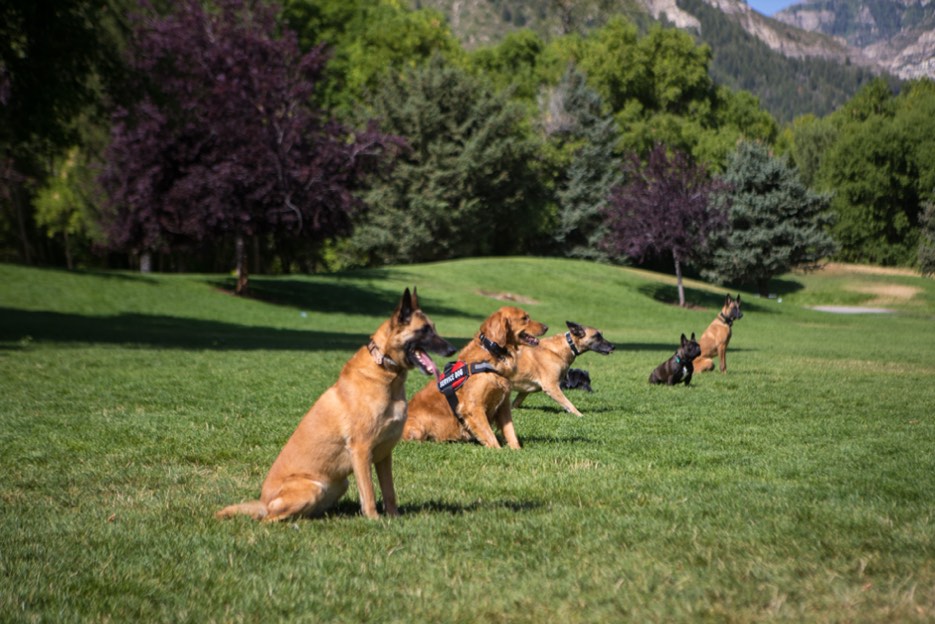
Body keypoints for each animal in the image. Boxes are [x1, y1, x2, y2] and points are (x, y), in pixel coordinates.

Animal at [217, 288, 458, 520]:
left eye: (433, 328)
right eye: (425, 330)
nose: (452, 349)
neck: (384, 370)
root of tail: (263, 503)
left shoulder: (383, 455)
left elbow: (389, 492)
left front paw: (394, 518)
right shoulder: (361, 450)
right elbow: (369, 493)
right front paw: (375, 521)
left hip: (340, 483)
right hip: (314, 487)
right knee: (269, 519)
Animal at [404, 308, 548, 448]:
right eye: (525, 318)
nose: (546, 327)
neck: (493, 353)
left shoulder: (503, 406)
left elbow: (510, 431)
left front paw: (516, 449)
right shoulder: (473, 407)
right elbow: (489, 434)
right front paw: (498, 450)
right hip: (417, 429)